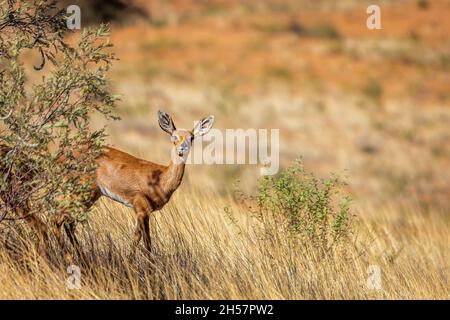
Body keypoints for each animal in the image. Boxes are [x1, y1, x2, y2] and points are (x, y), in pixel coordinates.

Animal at [1, 111, 215, 256]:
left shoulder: (144, 213)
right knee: (56, 220)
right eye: (174, 137)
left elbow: (141, 239)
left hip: (90, 197)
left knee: (67, 223)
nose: (181, 150)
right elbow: (144, 241)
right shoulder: (141, 210)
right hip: (82, 195)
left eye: (192, 137)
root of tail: (64, 156)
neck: (162, 177)